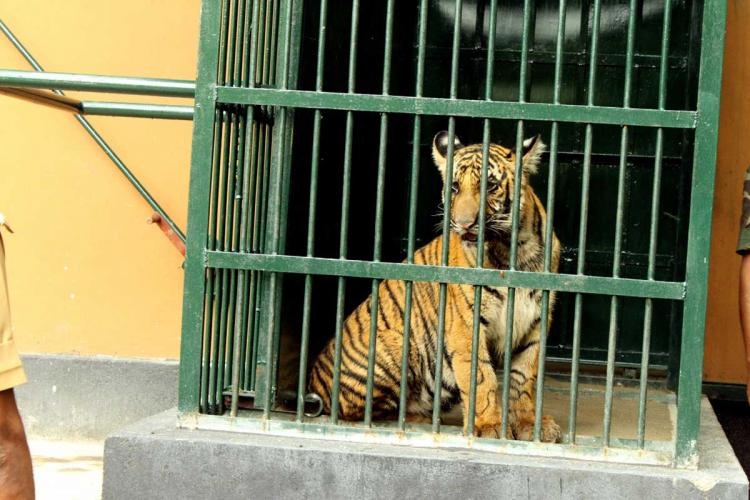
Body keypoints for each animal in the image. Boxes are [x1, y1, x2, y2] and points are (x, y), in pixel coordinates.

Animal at [308, 131, 562, 442]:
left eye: (490, 186)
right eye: (454, 187)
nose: (464, 224)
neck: (514, 251)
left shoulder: (535, 323)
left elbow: (524, 378)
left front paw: (529, 425)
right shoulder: (466, 325)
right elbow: (482, 378)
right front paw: (487, 427)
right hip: (397, 345)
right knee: (360, 412)